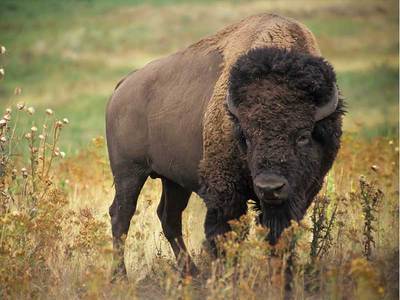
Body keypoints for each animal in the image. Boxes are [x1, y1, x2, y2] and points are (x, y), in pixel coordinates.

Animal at [105, 12, 344, 278]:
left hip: (173, 180)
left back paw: (191, 273)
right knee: (121, 215)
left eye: (303, 135)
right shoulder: (225, 193)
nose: (269, 187)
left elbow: (279, 234)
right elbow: (224, 235)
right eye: (247, 137)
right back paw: (120, 276)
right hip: (129, 172)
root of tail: (123, 85)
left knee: (169, 217)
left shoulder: (301, 192)